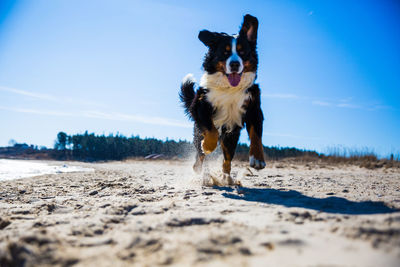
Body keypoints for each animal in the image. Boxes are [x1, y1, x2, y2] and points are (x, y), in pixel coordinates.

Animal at [180, 14, 264, 186]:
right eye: (225, 53)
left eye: (243, 52)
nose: (234, 64)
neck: (229, 89)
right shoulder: (200, 105)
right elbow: (211, 132)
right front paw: (208, 145)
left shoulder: (253, 108)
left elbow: (256, 134)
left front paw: (258, 159)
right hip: (199, 132)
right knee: (200, 158)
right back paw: (204, 174)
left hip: (231, 136)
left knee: (227, 160)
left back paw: (226, 178)